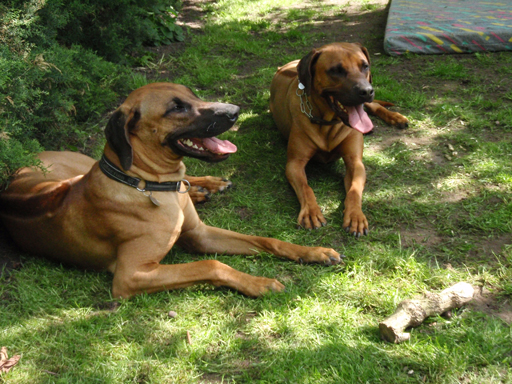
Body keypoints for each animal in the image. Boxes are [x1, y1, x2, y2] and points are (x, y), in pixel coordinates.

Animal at [1, 82, 344, 298]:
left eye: (191, 94)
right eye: (176, 107)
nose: (234, 110)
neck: (149, 185)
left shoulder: (201, 233)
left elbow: (267, 240)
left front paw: (313, 252)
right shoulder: (131, 275)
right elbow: (211, 264)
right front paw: (259, 283)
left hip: (80, 164)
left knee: (190, 179)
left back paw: (209, 185)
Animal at [268, 42, 408, 234]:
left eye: (365, 66)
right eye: (336, 70)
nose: (366, 91)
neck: (328, 122)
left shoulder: (355, 162)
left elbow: (354, 190)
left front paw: (355, 216)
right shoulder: (294, 164)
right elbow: (305, 187)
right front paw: (311, 212)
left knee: (374, 106)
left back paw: (396, 117)